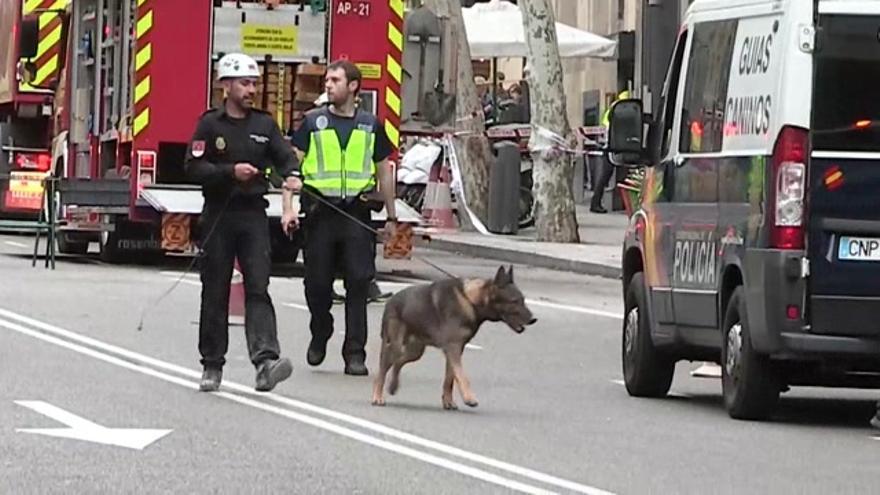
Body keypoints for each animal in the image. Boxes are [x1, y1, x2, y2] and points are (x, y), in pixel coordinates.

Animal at [372, 268, 536, 410]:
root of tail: (390, 302)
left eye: (523, 300)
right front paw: (469, 398)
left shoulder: (456, 349)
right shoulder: (453, 349)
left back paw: (393, 386)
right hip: (396, 346)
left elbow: (450, 378)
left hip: (415, 351)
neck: (470, 299)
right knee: (382, 372)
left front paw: (448, 401)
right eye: (514, 301)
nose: (534, 320)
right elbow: (462, 376)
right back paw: (377, 396)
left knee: (398, 363)